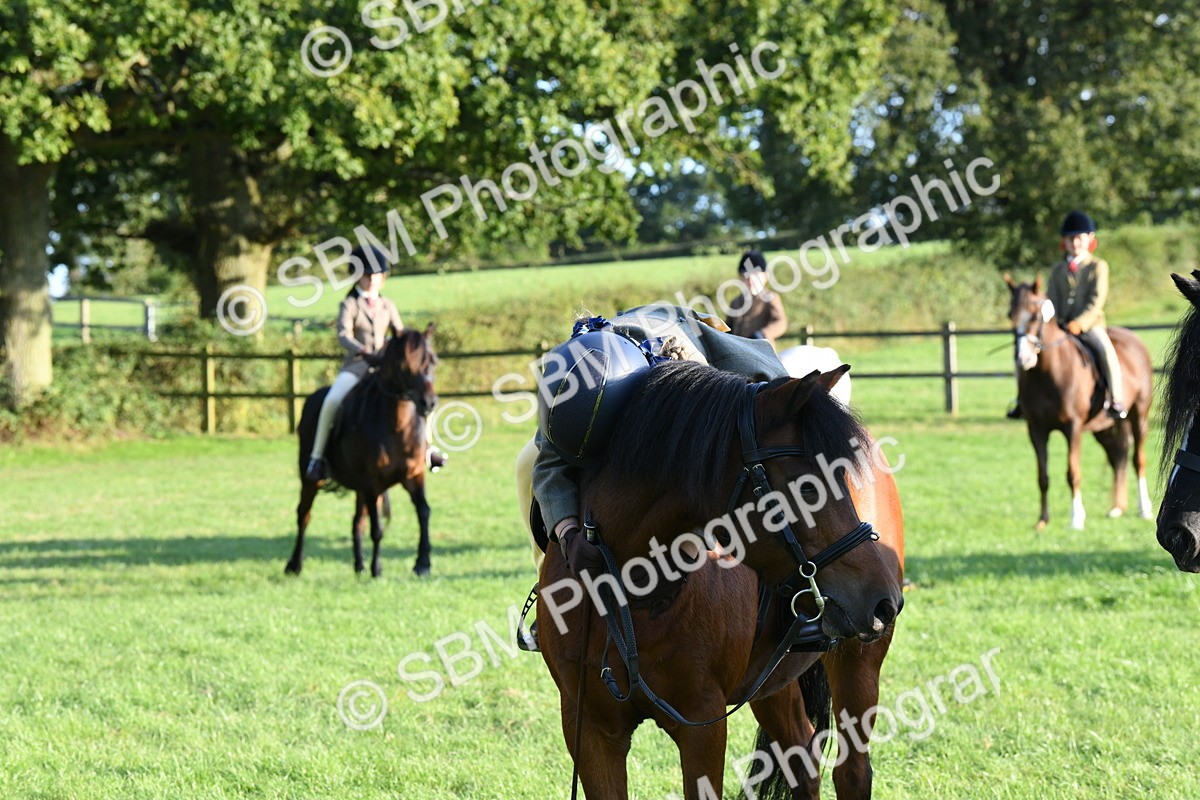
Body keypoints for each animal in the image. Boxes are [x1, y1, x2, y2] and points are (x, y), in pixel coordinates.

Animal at [285, 325, 438, 578]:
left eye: (433, 361)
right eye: (402, 365)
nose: (429, 403)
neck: (396, 426)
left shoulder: (413, 476)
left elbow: (424, 512)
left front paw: (423, 563)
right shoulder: (372, 484)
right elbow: (377, 528)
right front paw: (378, 569)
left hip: (360, 489)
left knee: (357, 520)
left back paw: (359, 565)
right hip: (311, 480)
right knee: (303, 516)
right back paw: (294, 565)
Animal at [528, 361, 905, 799]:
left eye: (842, 478)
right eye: (809, 488)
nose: (885, 602)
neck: (630, 599)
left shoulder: (703, 727)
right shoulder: (589, 729)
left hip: (858, 659)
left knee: (851, 772)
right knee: (801, 757)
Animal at [1004, 275, 1154, 530]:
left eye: (1034, 316)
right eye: (1010, 315)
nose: (1022, 359)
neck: (1047, 374)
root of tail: (1134, 339)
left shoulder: (1072, 428)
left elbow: (1072, 473)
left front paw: (1076, 519)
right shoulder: (1036, 430)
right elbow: (1042, 477)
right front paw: (1042, 521)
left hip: (1139, 415)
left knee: (1138, 460)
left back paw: (1144, 509)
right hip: (1103, 428)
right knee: (1118, 457)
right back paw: (1117, 509)